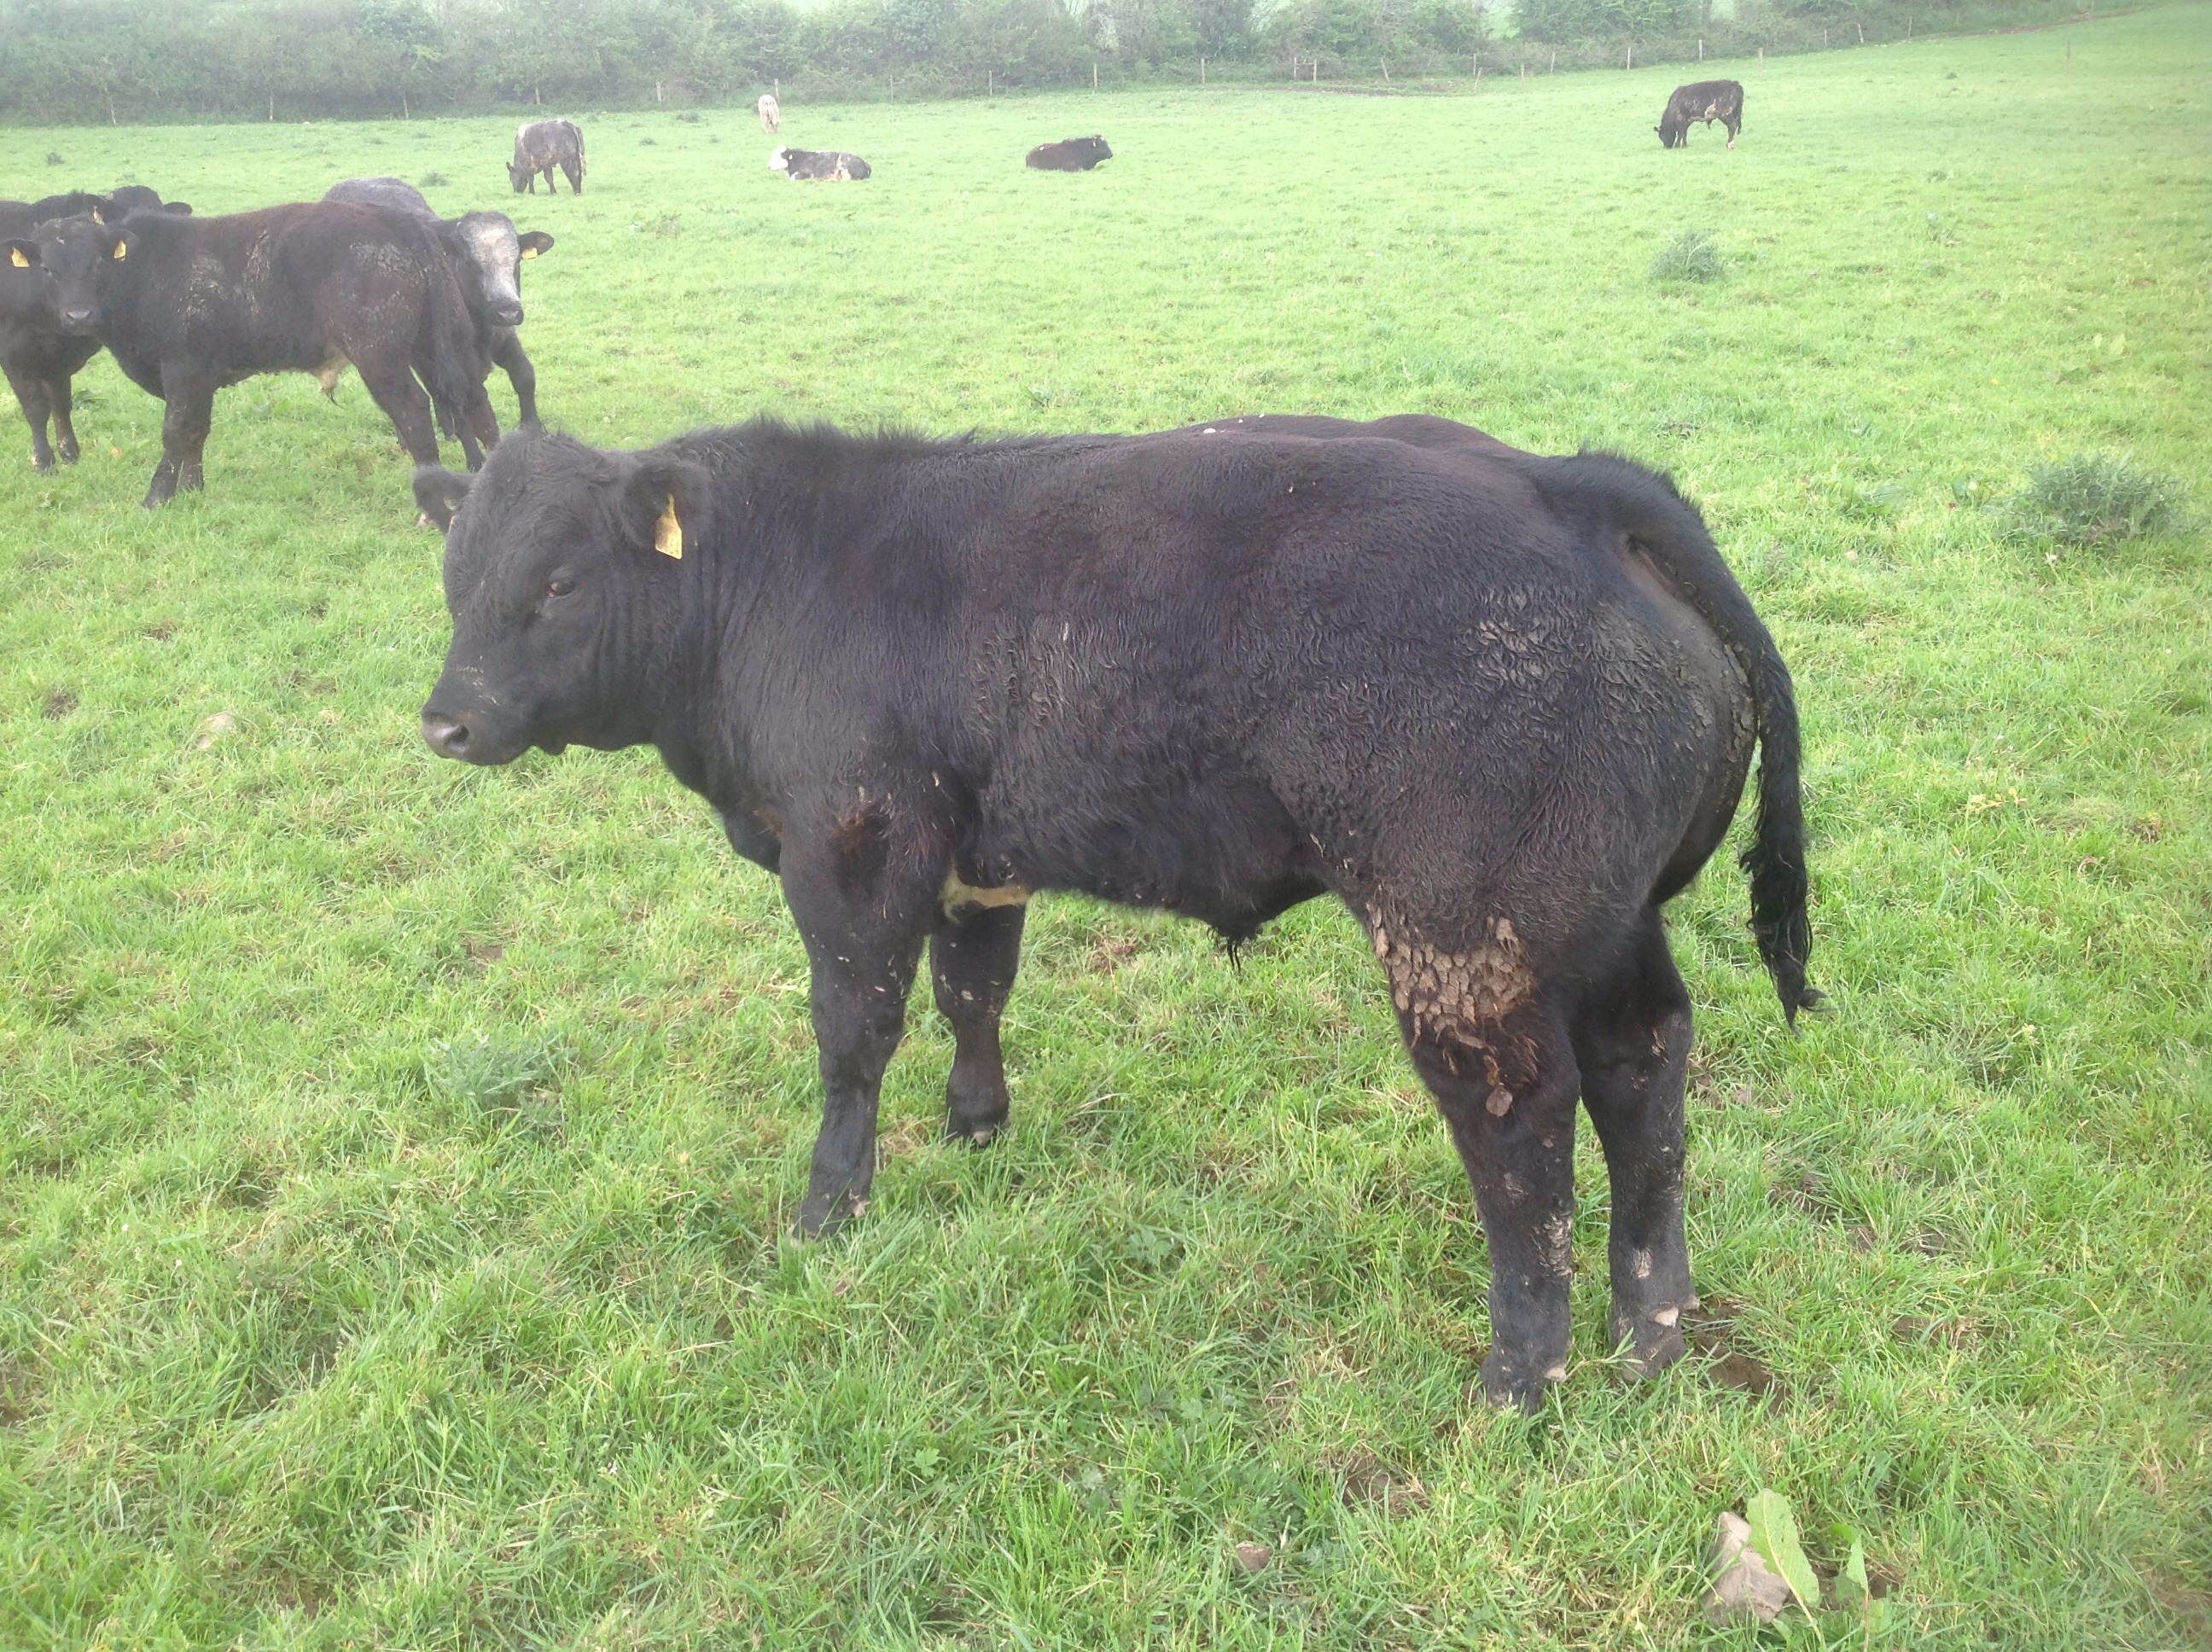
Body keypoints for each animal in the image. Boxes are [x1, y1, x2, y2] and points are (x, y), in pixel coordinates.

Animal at [31, 203, 491, 514]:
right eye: (48, 270)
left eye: (96, 264)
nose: (77, 317)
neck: (146, 271)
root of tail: (393, 217)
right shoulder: (200, 378)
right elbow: (197, 431)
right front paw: (193, 488)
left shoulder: (182, 370)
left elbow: (175, 432)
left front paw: (156, 497)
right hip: (440, 346)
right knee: (474, 405)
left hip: (380, 356)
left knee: (413, 410)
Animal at [324, 177, 554, 435]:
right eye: (470, 262)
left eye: (516, 262)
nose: (508, 312)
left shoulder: (504, 336)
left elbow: (524, 376)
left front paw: (532, 427)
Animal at [413, 414, 1817, 1412]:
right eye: (454, 575)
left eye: (558, 581)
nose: (446, 721)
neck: (773, 583)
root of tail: (1570, 483)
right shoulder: (977, 855)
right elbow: (972, 989)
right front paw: (976, 1127)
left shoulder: (855, 850)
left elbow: (853, 1033)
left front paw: (828, 1211)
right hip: (1610, 922)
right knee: (1645, 1076)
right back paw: (1652, 1330)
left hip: (1466, 943)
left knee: (1521, 1132)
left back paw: (1521, 1378)